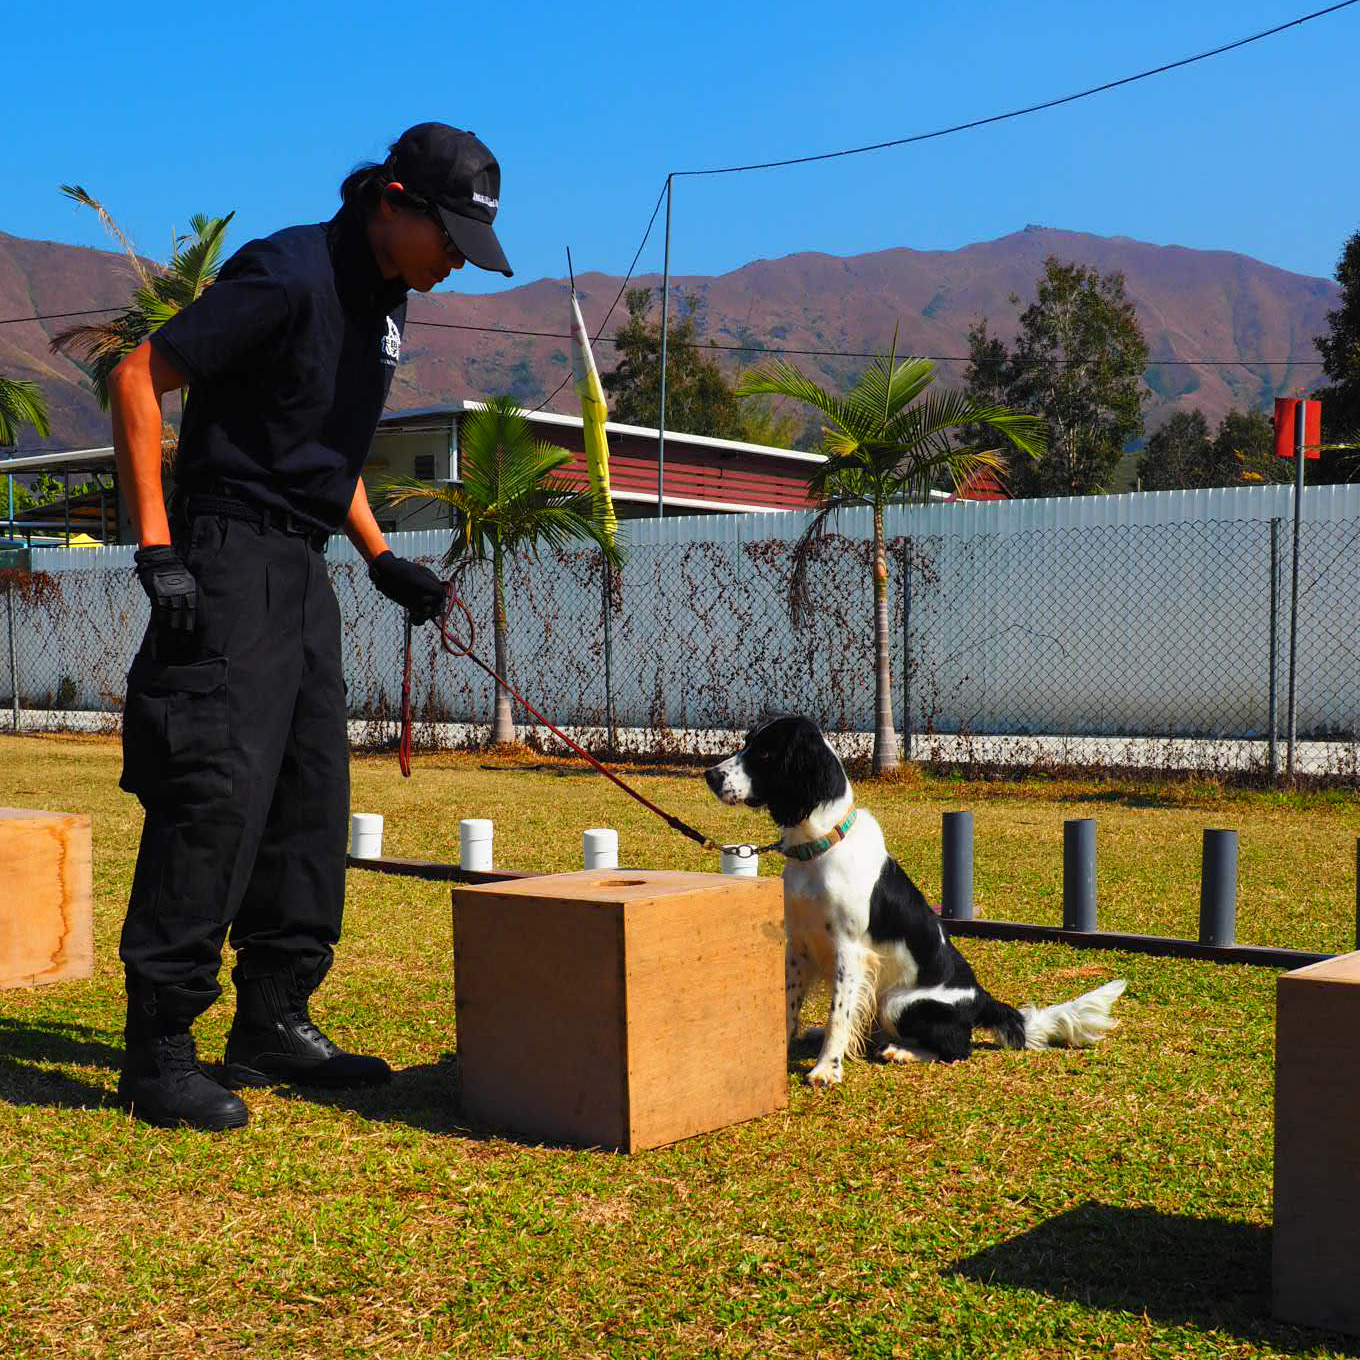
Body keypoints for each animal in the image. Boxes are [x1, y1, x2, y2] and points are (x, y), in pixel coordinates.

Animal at [701, 712, 1126, 1082]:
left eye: (766, 753)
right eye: (747, 743)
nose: (710, 775)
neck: (819, 848)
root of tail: (982, 998)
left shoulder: (849, 951)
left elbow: (838, 1014)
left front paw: (827, 1069)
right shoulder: (799, 947)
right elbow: (789, 1004)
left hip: (899, 1002)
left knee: (957, 1048)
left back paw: (901, 1051)